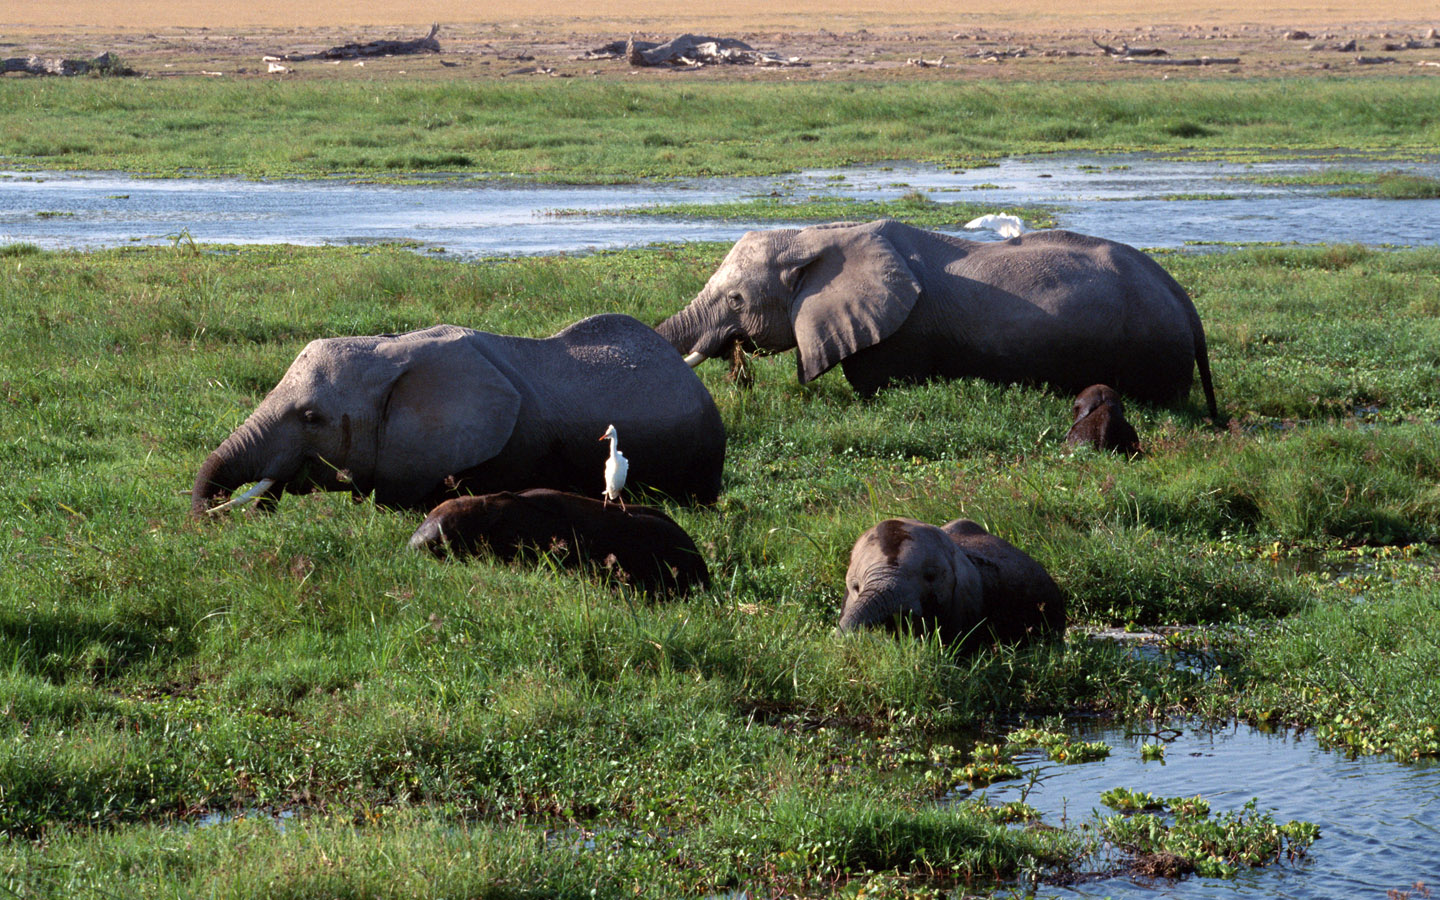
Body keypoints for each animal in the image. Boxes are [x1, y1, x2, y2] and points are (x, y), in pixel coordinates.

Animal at [659, 218, 1221, 414]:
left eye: (736, 300)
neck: (816, 235)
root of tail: (1182, 297)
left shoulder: (899, 334)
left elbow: (877, 387)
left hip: (1152, 350)